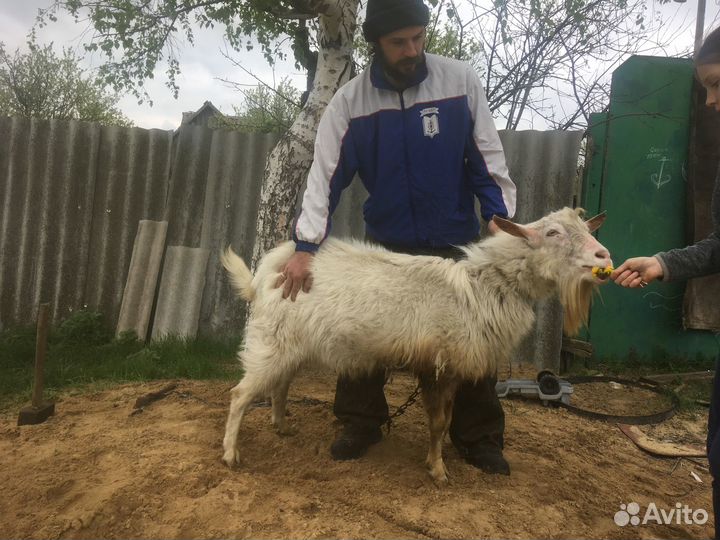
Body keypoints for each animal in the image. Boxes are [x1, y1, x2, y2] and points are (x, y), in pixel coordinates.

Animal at [221, 207, 611, 484]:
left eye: (586, 229)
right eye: (552, 232)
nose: (604, 257)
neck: (484, 286)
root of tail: (265, 273)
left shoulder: (449, 369)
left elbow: (446, 420)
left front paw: (437, 461)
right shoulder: (439, 367)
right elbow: (438, 423)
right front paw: (438, 470)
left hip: (292, 345)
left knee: (281, 385)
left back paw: (281, 426)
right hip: (271, 341)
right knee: (240, 395)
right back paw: (230, 454)